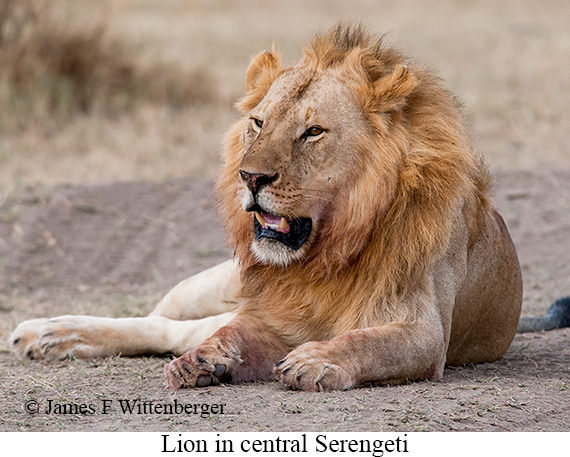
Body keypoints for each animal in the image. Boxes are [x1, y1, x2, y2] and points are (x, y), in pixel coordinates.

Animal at [8, 23, 568, 390]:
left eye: (312, 131)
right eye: (259, 123)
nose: (250, 177)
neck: (328, 252)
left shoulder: (424, 332)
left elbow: (366, 342)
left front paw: (315, 362)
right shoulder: (274, 314)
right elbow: (232, 331)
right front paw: (207, 360)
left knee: (170, 330)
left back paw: (53, 337)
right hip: (213, 284)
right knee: (162, 321)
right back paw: (49, 333)